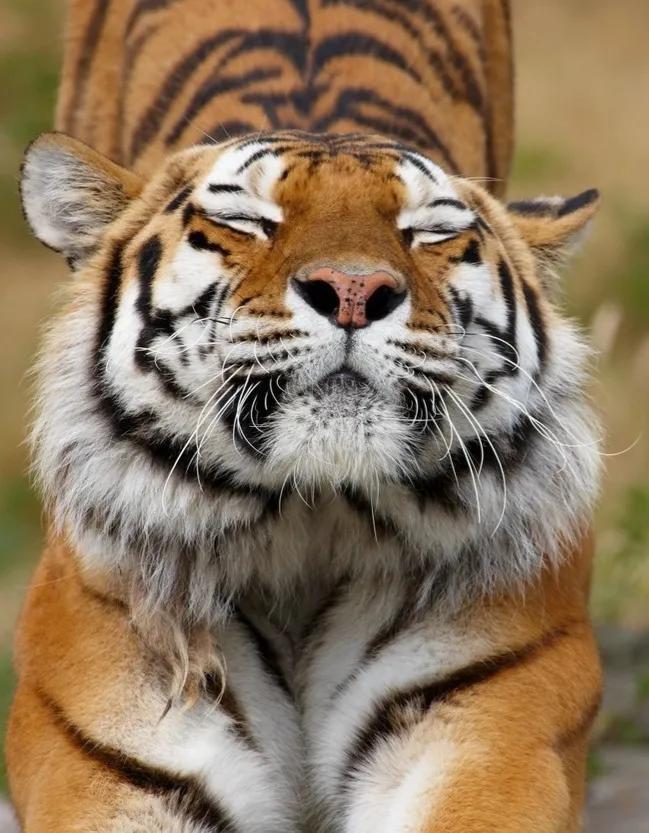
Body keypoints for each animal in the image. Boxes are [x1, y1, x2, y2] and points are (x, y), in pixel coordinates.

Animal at [6, 1, 603, 832]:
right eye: (247, 220)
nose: (352, 289)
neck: (309, 526)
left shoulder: (489, 729)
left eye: (429, 232)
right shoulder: (120, 741)